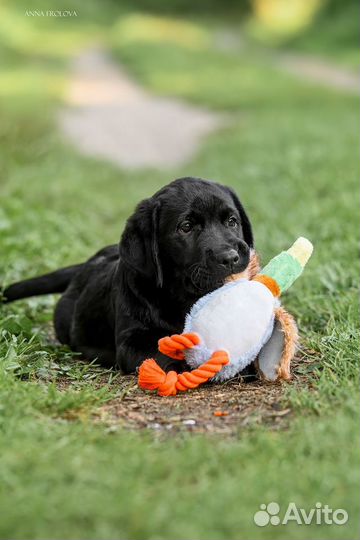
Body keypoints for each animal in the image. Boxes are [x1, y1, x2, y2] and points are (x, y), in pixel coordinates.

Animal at [4, 179, 255, 374]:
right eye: (186, 227)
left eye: (232, 221)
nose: (230, 257)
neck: (181, 298)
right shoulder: (132, 340)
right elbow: (159, 349)